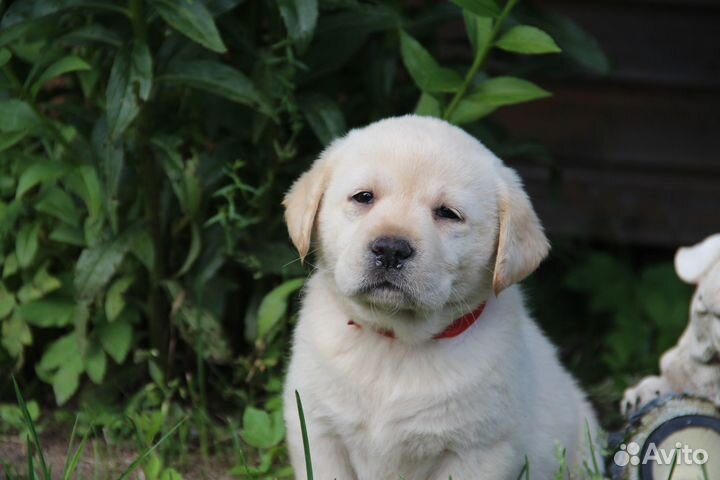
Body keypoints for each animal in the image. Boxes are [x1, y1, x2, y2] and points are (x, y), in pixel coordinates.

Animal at [282, 116, 600, 480]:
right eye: (363, 197)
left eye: (448, 213)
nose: (390, 248)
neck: (396, 343)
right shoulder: (317, 429)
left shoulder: (479, 450)